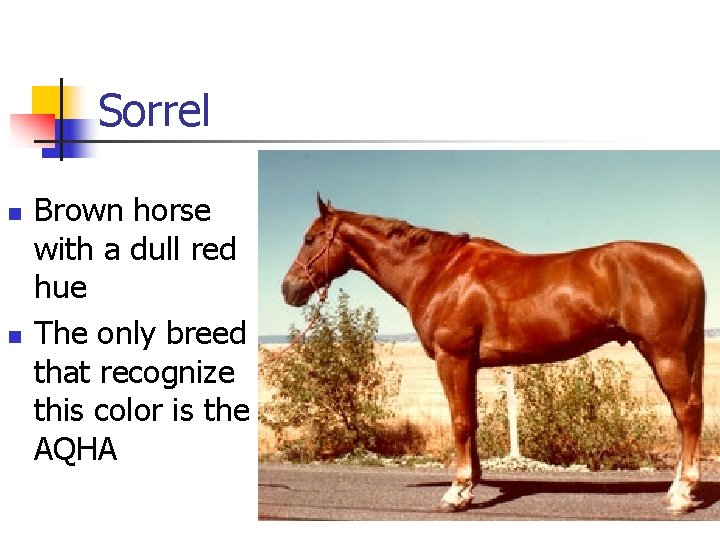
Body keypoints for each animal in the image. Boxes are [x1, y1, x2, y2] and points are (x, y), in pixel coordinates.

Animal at [281, 195, 706, 514]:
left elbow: (460, 423)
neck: (438, 271)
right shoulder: (468, 364)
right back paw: (675, 489)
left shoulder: (452, 358)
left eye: (310, 238)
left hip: (665, 354)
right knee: (685, 413)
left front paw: (456, 493)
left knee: (687, 413)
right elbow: (471, 421)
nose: (289, 289)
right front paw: (470, 485)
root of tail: (687, 264)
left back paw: (683, 495)